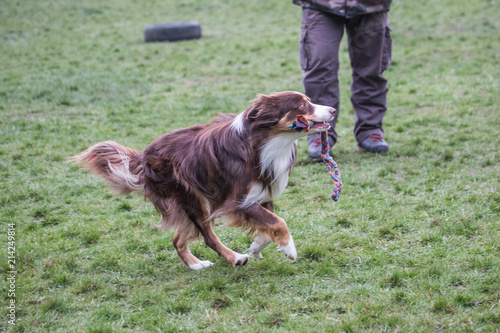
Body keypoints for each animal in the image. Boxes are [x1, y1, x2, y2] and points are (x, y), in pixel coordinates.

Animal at [71, 91, 336, 270]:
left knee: (178, 239)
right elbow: (278, 222)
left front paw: (258, 246)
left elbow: (269, 222)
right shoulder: (236, 201)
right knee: (208, 237)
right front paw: (289, 249)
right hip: (193, 197)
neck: (265, 141)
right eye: (302, 104)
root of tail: (144, 153)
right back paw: (235, 258)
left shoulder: (262, 193)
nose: (333, 110)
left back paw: (195, 264)